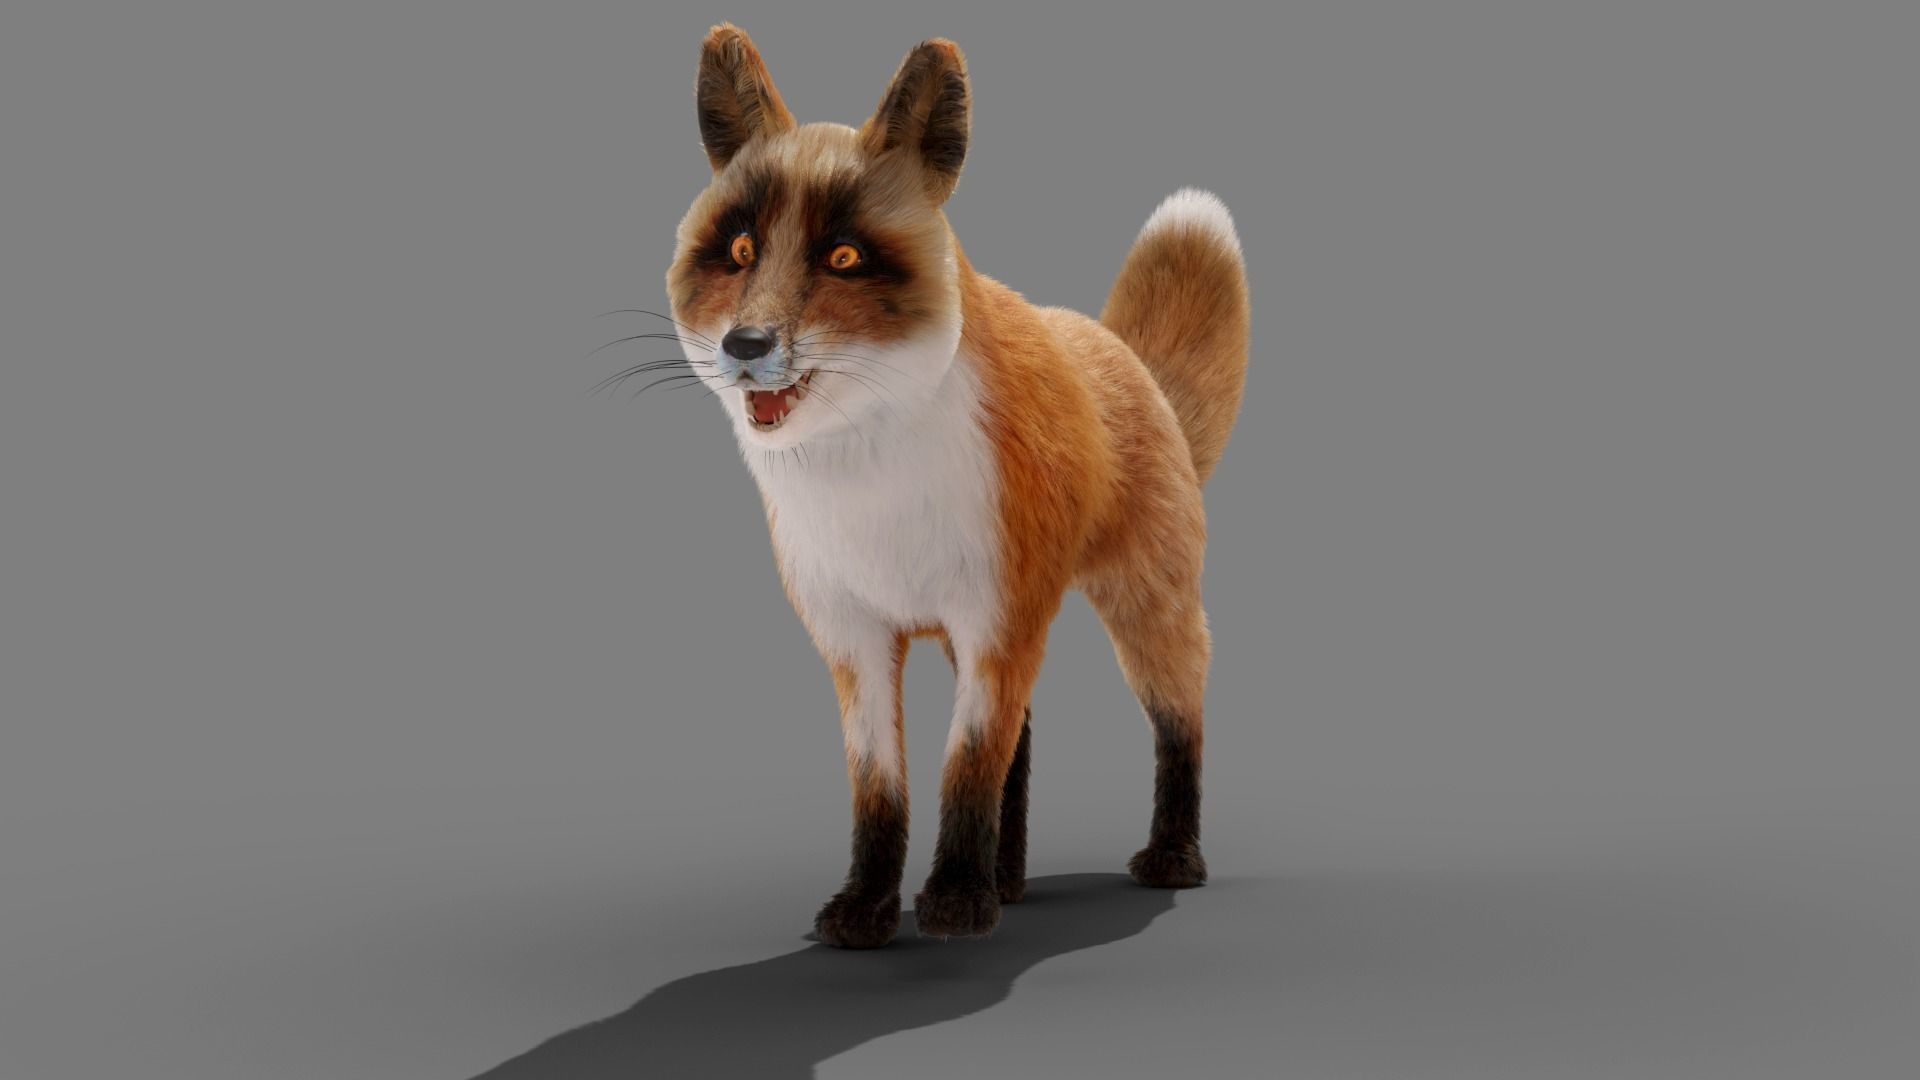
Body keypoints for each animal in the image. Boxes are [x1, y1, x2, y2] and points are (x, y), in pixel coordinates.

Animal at [659, 24, 1249, 948]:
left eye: (844, 256)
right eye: (741, 251)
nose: (746, 345)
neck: (871, 497)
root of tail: (1119, 351)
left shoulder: (993, 618)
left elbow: (967, 769)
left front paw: (958, 902)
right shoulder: (856, 637)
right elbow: (885, 789)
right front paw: (869, 908)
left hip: (1143, 610)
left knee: (1179, 723)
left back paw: (1170, 859)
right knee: (1026, 739)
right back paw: (1011, 881)